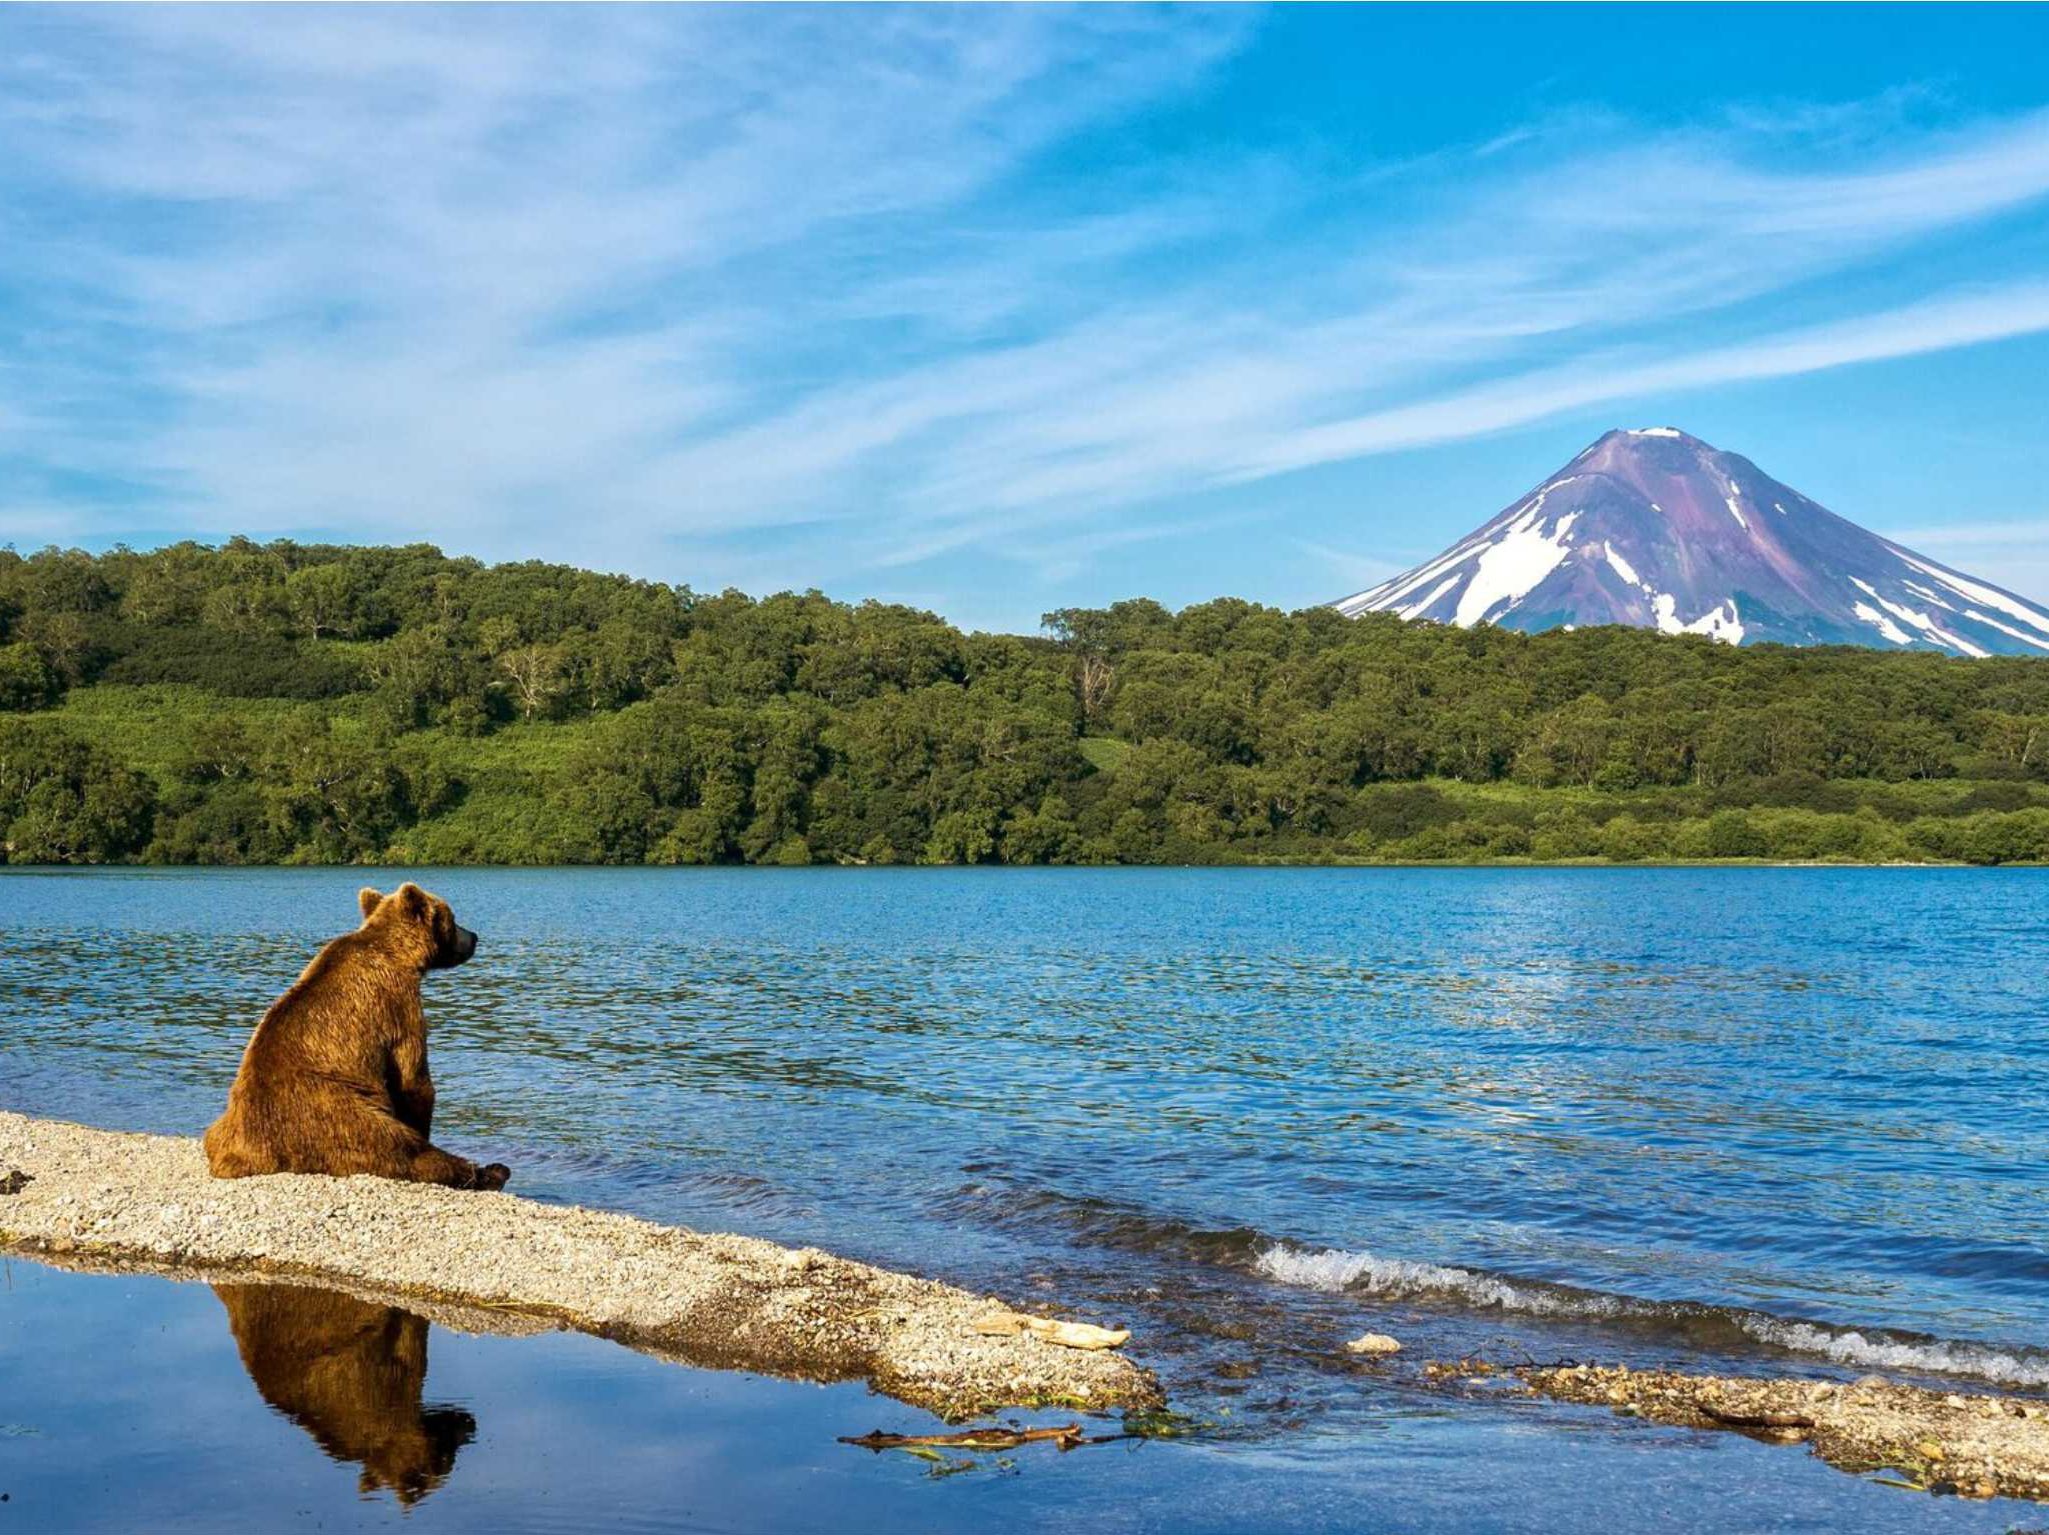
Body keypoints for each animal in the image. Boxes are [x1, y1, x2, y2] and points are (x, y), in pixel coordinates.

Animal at [200, 881, 508, 1188]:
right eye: (453, 920)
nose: (474, 937)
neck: (398, 952)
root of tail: (245, 1156)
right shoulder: (398, 1004)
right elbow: (413, 1078)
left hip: (226, 1123)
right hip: (336, 1117)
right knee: (401, 1149)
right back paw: (490, 1171)